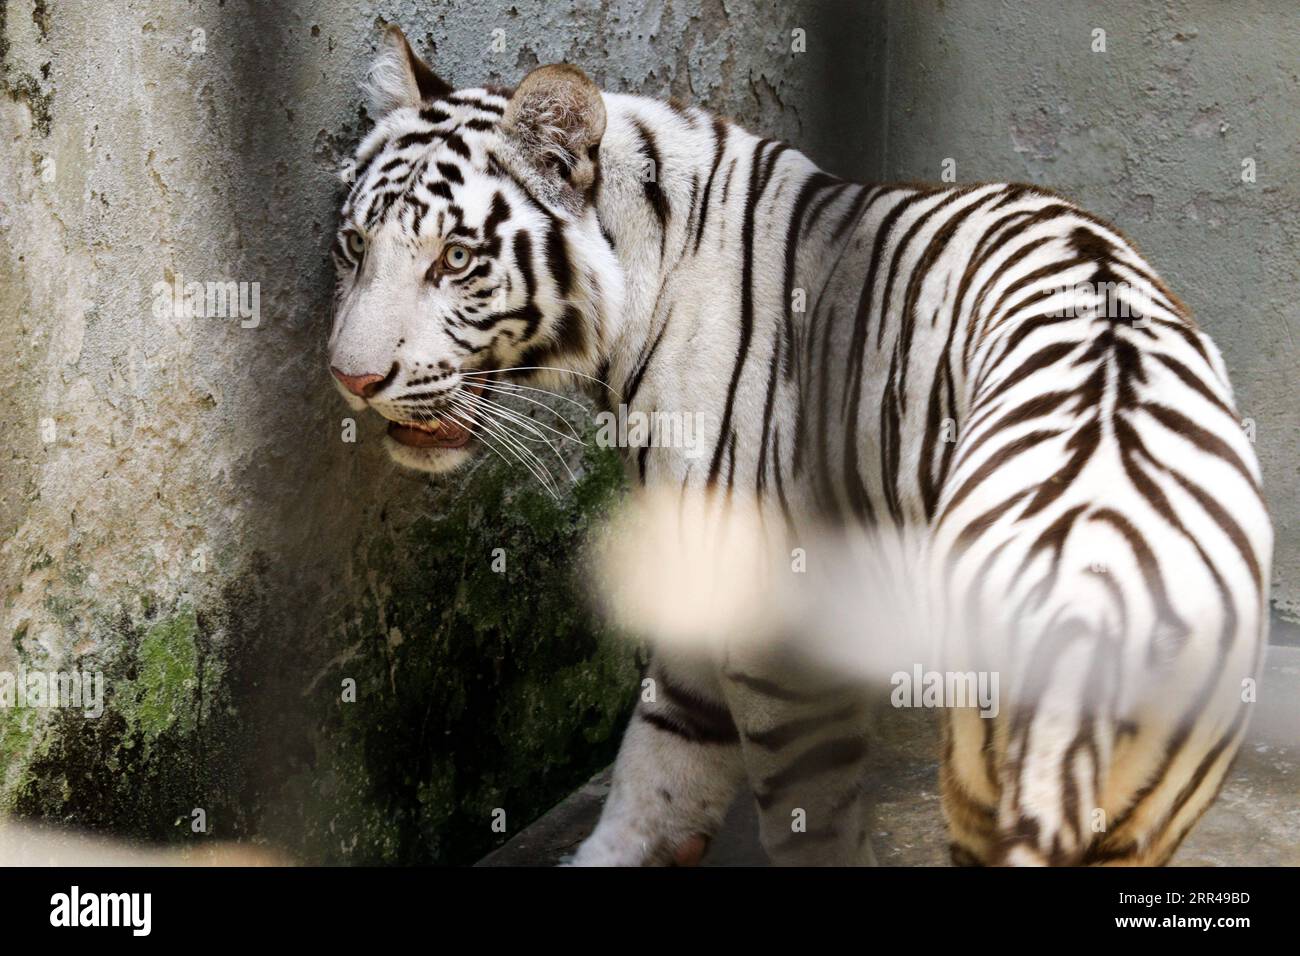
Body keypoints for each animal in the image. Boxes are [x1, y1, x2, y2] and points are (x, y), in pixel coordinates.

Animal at [327, 27, 1268, 868]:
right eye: (354, 244)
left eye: (456, 258)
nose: (351, 378)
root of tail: (1093, 608)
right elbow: (659, 766)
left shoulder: (776, 632)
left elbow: (795, 812)